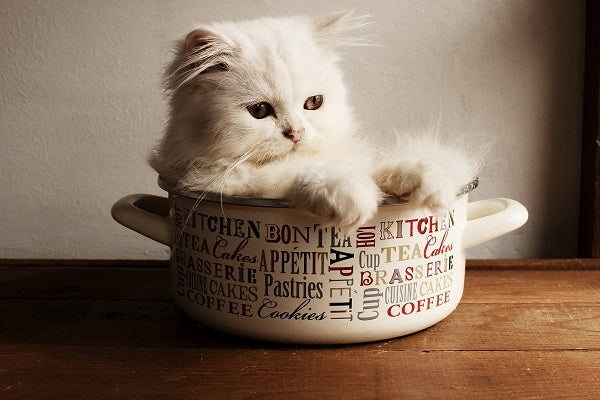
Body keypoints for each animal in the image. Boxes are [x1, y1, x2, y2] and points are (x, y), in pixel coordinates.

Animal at [150, 10, 478, 231]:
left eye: (313, 103)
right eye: (259, 110)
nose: (295, 133)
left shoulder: (356, 155)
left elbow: (382, 167)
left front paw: (429, 181)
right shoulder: (225, 181)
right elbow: (311, 172)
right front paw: (354, 197)